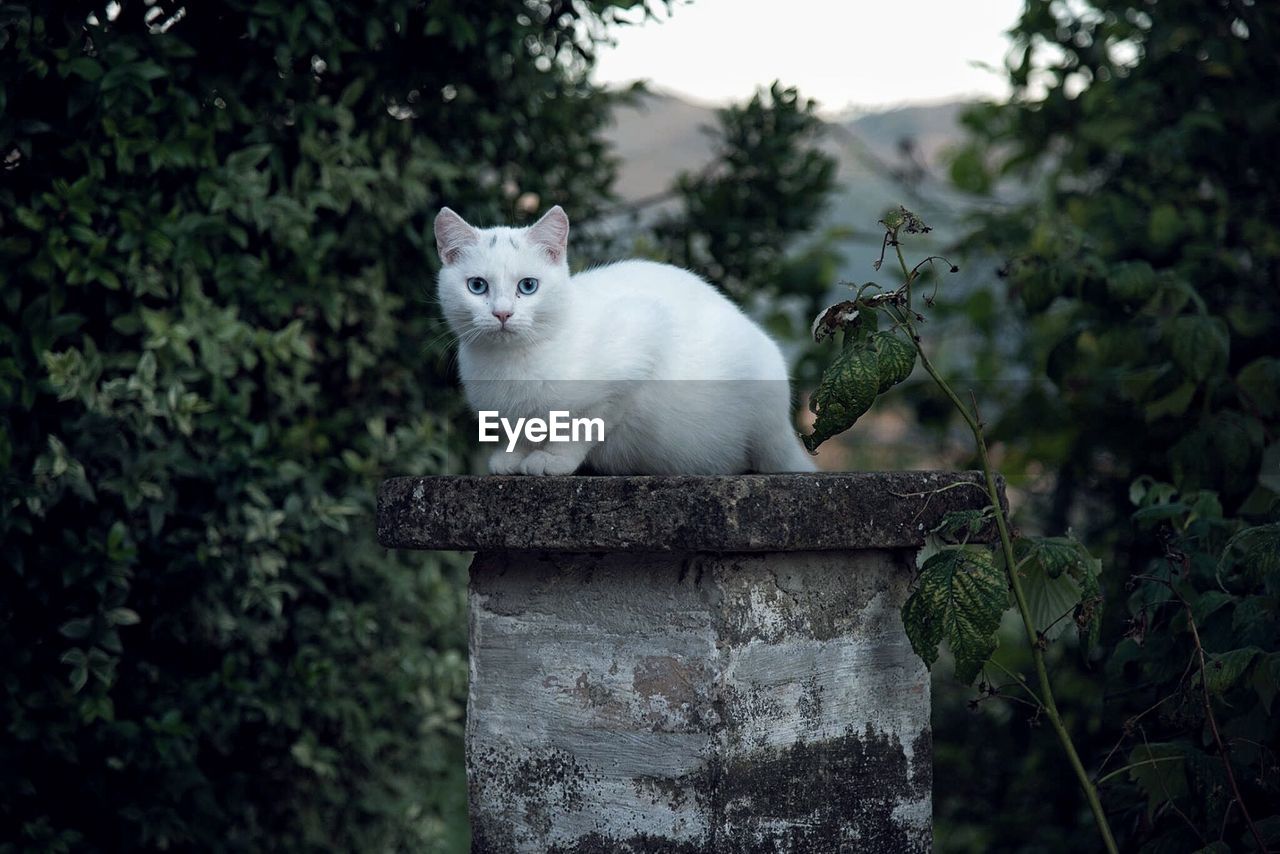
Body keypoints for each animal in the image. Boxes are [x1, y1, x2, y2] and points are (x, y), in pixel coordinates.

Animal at [430, 204, 808, 478]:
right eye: (477, 286)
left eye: (528, 286)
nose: (502, 313)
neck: (512, 362)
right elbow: (522, 431)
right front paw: (513, 457)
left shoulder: (640, 340)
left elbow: (583, 425)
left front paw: (552, 459)